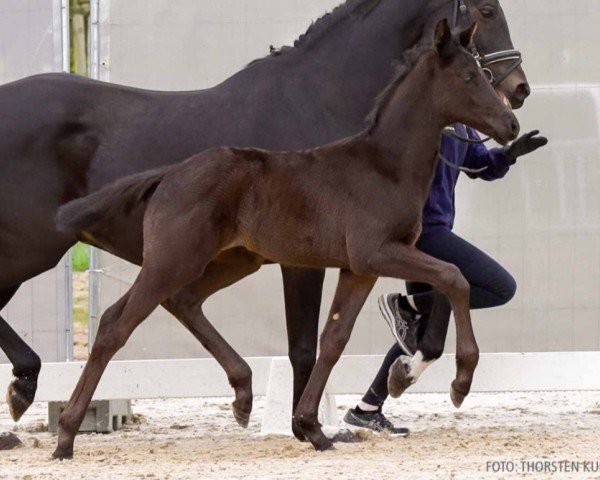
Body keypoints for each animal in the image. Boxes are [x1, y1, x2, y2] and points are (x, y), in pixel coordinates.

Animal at [0, 0, 528, 436]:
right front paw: (308, 423)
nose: (517, 96)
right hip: (41, 247)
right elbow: (309, 344)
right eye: (486, 10)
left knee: (179, 302)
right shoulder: (318, 260)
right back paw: (29, 391)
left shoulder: (360, 256)